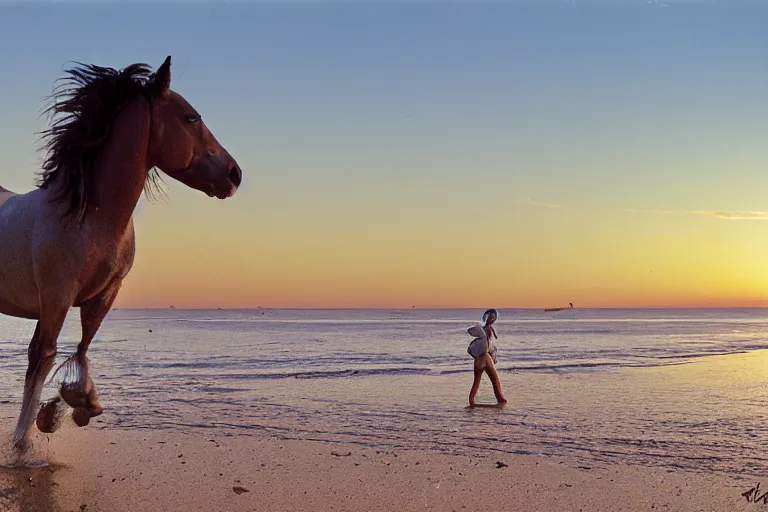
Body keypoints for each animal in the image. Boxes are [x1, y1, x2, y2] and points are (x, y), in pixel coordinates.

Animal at [0, 54, 242, 450]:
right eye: (191, 117)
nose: (235, 175)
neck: (90, 215)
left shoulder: (104, 294)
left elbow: (82, 348)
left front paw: (71, 408)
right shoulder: (55, 297)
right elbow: (42, 358)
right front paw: (23, 441)